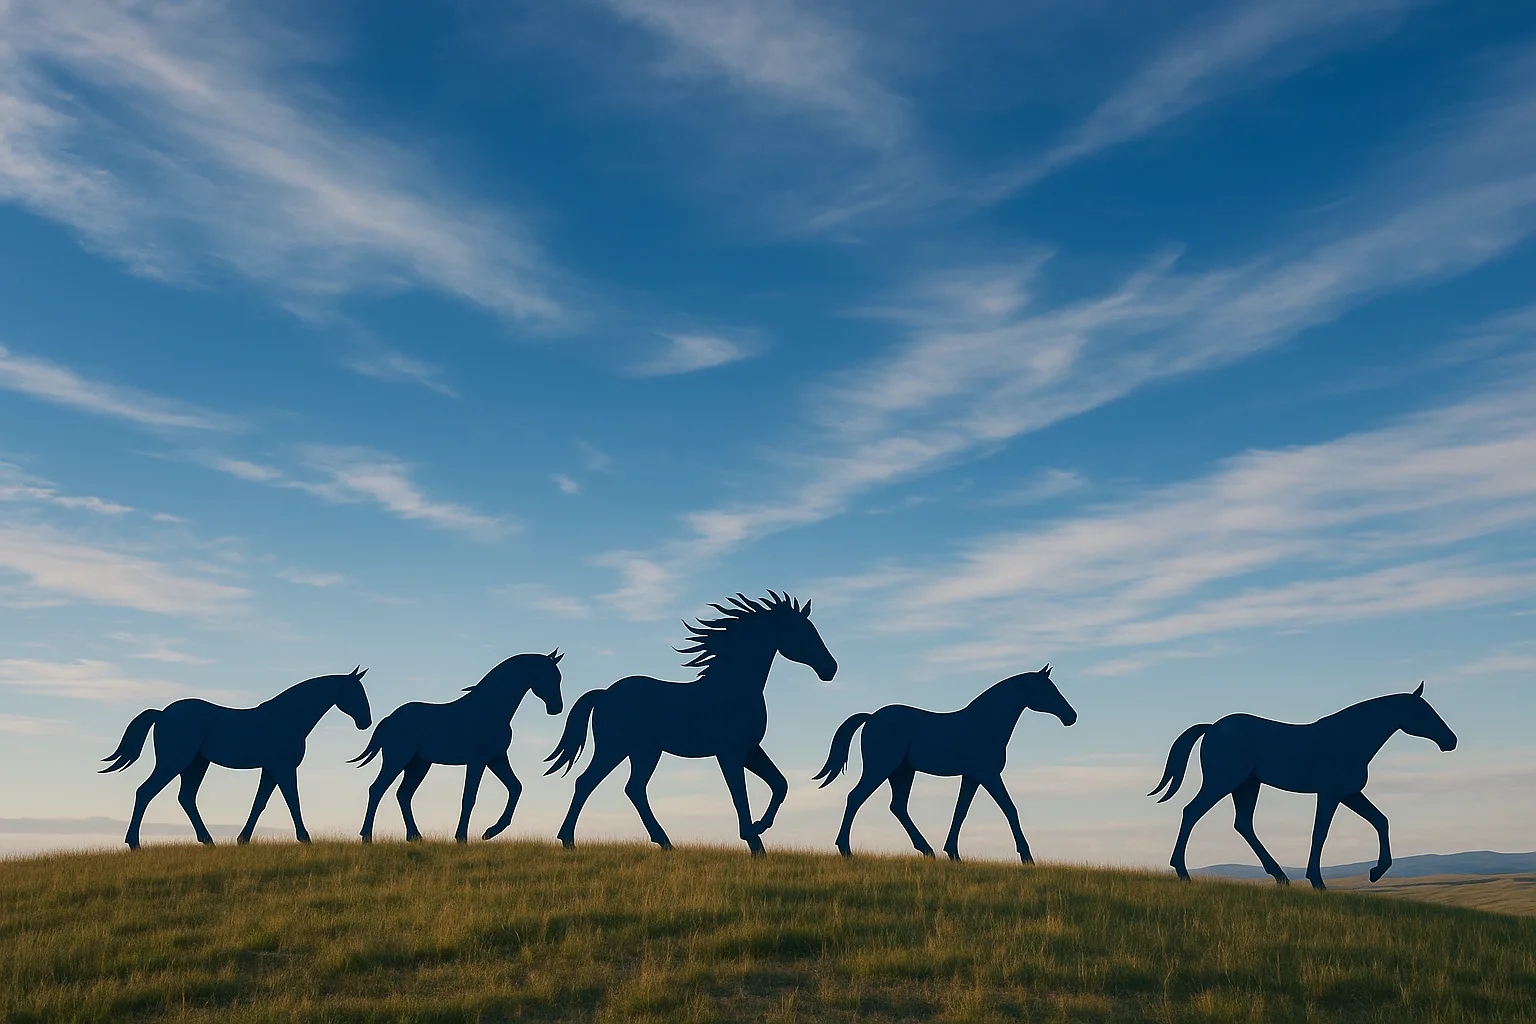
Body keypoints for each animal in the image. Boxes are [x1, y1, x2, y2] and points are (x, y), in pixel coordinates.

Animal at [100, 667, 372, 849]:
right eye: (355, 692)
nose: (366, 722)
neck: (287, 718)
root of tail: (162, 713)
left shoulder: (270, 769)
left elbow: (259, 803)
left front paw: (243, 839)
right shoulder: (284, 768)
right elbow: (292, 801)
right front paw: (305, 839)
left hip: (196, 765)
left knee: (185, 797)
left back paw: (208, 841)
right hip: (174, 763)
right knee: (145, 792)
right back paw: (134, 843)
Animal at [352, 652, 564, 843]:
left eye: (559, 678)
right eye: (549, 676)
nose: (557, 708)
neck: (491, 708)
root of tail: (388, 720)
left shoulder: (497, 758)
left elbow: (515, 787)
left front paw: (490, 832)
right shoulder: (478, 761)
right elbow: (469, 797)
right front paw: (462, 837)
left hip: (418, 765)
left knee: (403, 794)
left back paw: (415, 836)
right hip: (398, 760)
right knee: (377, 789)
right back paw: (367, 837)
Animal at [546, 592, 836, 855]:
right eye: (804, 631)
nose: (830, 669)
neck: (734, 687)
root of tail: (604, 693)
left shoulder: (751, 750)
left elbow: (780, 784)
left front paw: (759, 829)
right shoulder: (730, 753)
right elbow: (739, 795)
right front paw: (754, 841)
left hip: (643, 752)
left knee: (632, 788)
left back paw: (663, 842)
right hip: (615, 749)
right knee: (588, 782)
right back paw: (569, 840)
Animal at [813, 666, 1076, 863]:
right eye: (1048, 690)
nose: (1071, 716)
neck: (985, 723)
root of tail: (871, 718)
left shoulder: (971, 776)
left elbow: (960, 812)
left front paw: (953, 853)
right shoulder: (989, 774)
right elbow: (1009, 808)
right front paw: (1027, 857)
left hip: (902, 772)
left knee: (897, 806)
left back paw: (927, 850)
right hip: (881, 768)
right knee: (856, 797)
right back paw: (845, 849)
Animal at [1150, 682, 1457, 889]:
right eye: (1424, 713)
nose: (1450, 741)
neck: (1350, 738)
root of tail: (1212, 727)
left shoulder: (1350, 794)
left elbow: (1380, 820)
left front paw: (1376, 872)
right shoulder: (1331, 793)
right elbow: (1320, 833)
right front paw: (1317, 881)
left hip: (1247, 785)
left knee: (1243, 824)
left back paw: (1280, 877)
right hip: (1223, 782)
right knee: (1192, 812)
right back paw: (1182, 872)